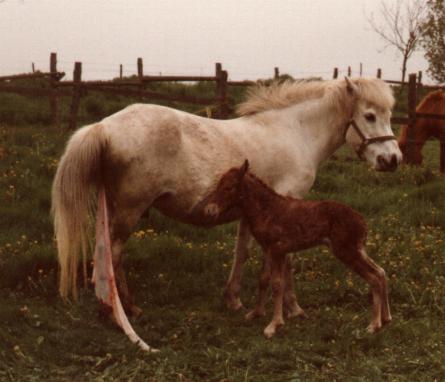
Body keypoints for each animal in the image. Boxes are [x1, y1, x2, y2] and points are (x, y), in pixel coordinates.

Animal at [203, 160, 390, 338]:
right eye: (218, 184)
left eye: (229, 187)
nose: (210, 210)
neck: (264, 210)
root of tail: (364, 224)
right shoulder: (267, 249)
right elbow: (263, 279)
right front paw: (256, 313)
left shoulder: (278, 249)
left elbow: (277, 284)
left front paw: (274, 325)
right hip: (357, 249)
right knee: (380, 271)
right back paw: (386, 318)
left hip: (346, 250)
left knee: (374, 278)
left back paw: (374, 325)